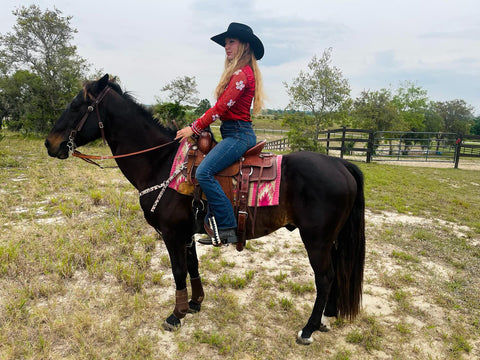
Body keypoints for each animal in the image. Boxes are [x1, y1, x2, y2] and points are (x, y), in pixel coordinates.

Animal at [45, 74, 366, 344]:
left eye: (77, 105)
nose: (50, 143)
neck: (162, 162)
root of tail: (340, 163)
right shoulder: (187, 232)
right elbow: (193, 266)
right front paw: (195, 303)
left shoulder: (172, 233)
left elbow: (177, 270)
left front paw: (176, 315)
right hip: (330, 240)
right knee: (335, 273)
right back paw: (326, 318)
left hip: (316, 239)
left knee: (325, 277)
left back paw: (309, 328)